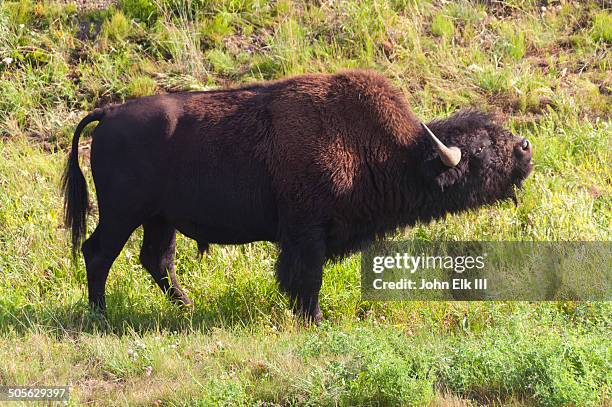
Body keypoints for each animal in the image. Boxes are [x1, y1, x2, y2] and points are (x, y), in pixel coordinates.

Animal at [61, 71, 532, 326]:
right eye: (480, 151)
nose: (525, 148)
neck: (391, 151)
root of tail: (109, 113)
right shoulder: (307, 233)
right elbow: (307, 279)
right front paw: (316, 319)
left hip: (160, 219)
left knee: (156, 260)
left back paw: (188, 306)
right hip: (123, 215)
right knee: (98, 253)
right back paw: (101, 316)